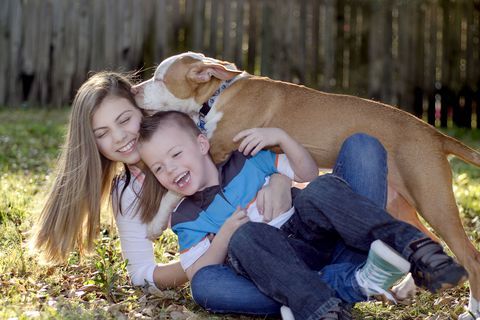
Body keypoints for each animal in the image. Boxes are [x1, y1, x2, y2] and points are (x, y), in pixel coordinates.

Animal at [133, 52, 480, 318]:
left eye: (161, 79)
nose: (134, 90)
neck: (216, 96)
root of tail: (435, 134)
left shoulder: (219, 154)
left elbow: (175, 189)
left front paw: (154, 224)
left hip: (433, 199)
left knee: (470, 255)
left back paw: (471, 309)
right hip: (399, 201)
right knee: (427, 237)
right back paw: (409, 283)